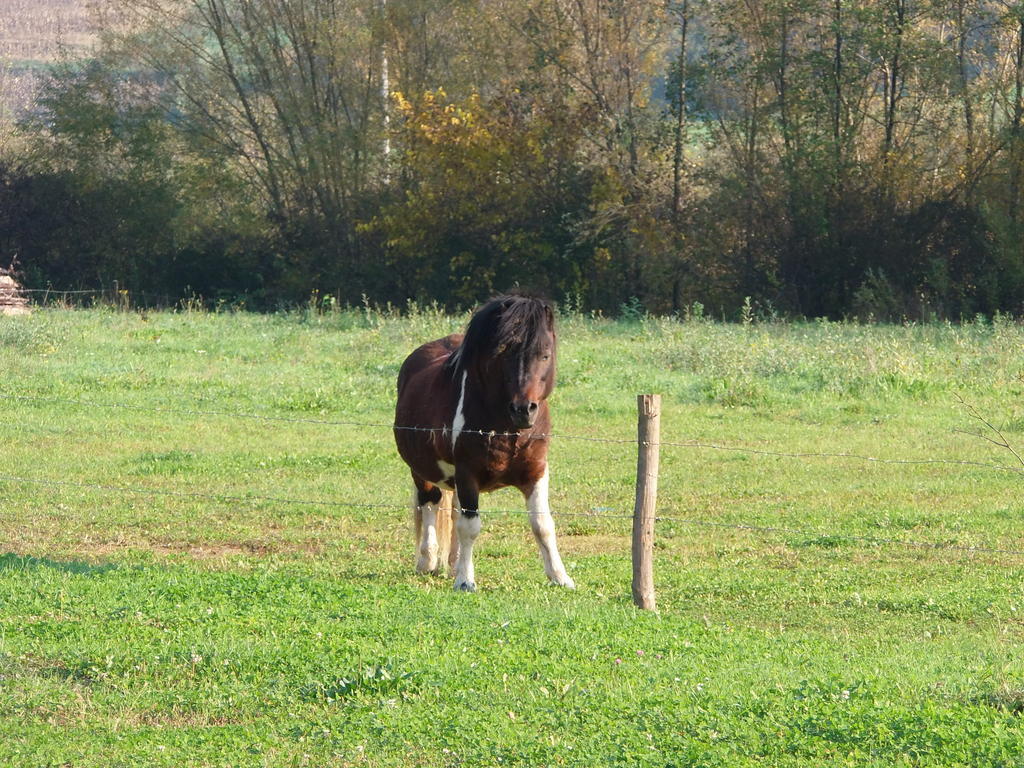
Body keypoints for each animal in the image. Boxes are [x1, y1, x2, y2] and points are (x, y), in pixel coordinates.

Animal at [391, 296, 573, 593]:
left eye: (545, 355)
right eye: (503, 354)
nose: (524, 410)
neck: (506, 429)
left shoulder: (536, 471)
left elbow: (543, 524)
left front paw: (560, 577)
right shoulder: (467, 474)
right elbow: (470, 526)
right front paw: (466, 581)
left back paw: (452, 562)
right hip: (420, 470)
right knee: (430, 503)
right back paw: (427, 561)